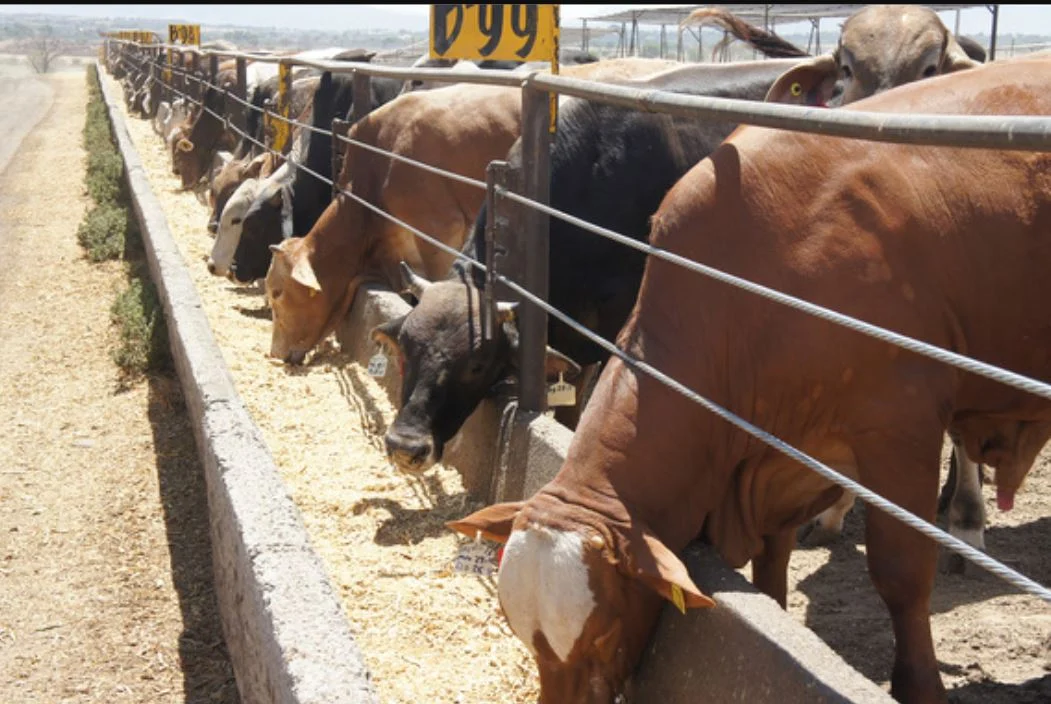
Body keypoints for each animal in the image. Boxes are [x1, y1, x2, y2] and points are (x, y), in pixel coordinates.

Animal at [448, 58, 1051, 704]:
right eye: (523, 635)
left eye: (603, 635)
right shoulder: (781, 458)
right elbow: (772, 564)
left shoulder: (901, 428)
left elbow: (902, 574)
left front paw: (919, 685)